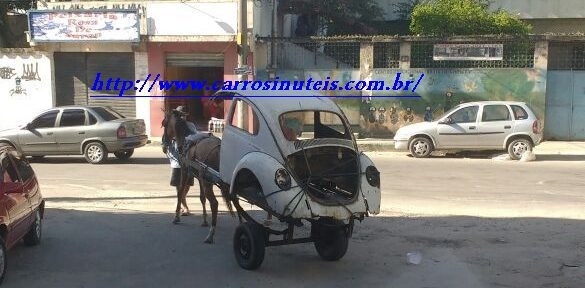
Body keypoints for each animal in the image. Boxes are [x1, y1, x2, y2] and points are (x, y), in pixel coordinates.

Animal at [162, 110, 235, 243]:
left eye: (164, 124)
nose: (164, 143)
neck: (186, 139)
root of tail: (219, 149)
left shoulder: (185, 170)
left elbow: (180, 192)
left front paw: (176, 217)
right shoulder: (199, 177)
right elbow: (202, 198)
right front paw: (205, 220)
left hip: (208, 182)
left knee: (214, 203)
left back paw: (211, 234)